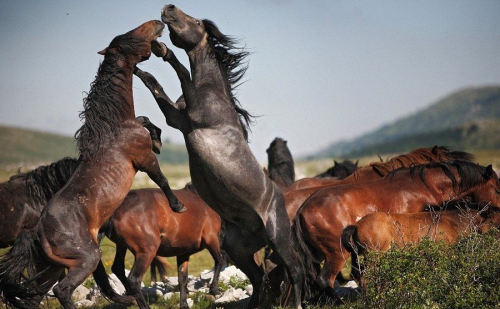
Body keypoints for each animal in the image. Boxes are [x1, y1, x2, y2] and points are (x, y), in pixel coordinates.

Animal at [0, 19, 185, 308]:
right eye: (132, 35)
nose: (158, 23)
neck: (114, 127)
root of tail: (37, 232)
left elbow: (145, 119)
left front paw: (157, 138)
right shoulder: (143, 159)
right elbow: (162, 178)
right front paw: (178, 205)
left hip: (49, 267)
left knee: (36, 295)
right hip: (86, 259)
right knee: (63, 290)